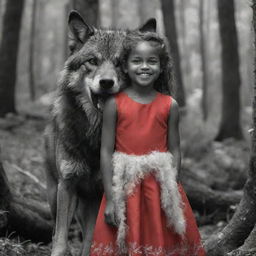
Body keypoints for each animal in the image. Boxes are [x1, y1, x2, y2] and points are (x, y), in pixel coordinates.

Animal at [44, 11, 156, 256]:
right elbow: (60, 240)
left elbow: (90, 241)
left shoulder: (101, 194)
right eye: (93, 61)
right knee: (56, 230)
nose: (106, 82)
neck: (95, 135)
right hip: (56, 194)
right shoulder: (67, 185)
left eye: (120, 63)